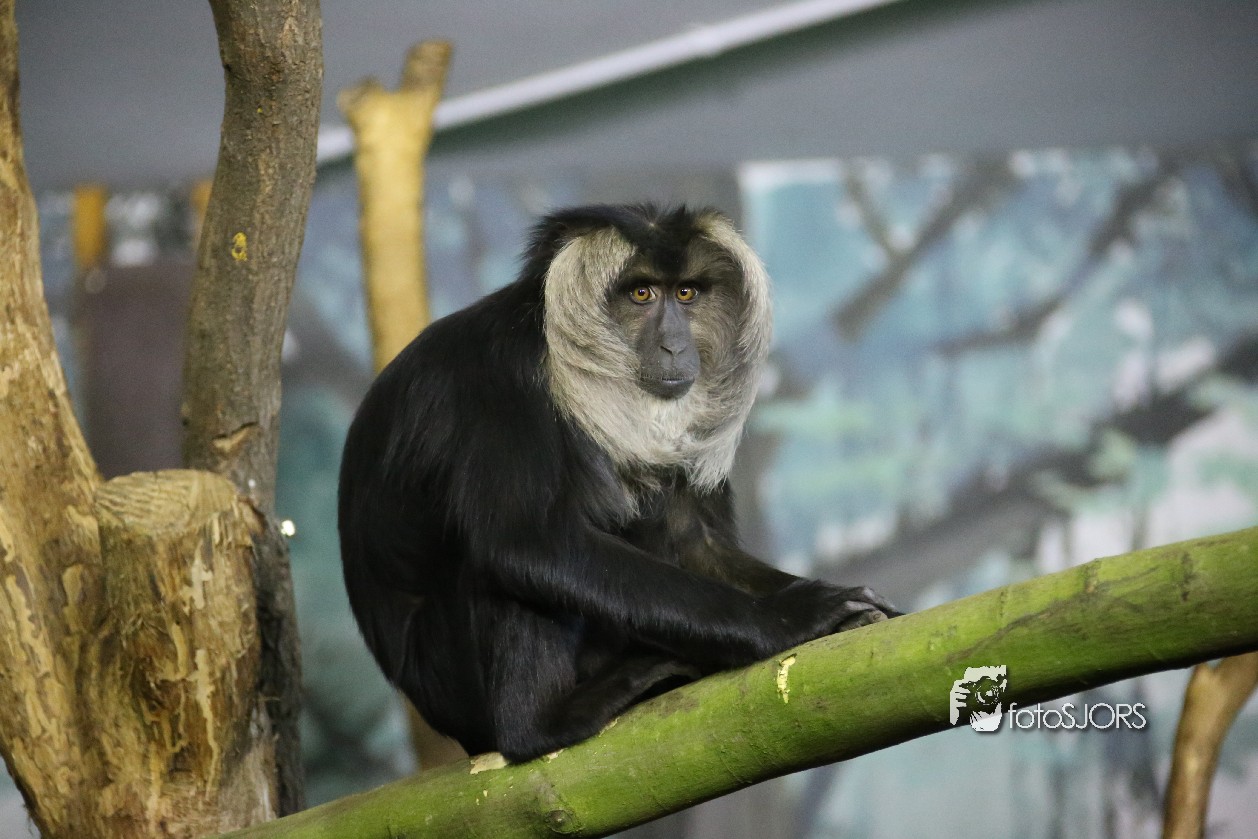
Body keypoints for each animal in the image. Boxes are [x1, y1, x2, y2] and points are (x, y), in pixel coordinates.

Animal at [338, 204, 895, 763]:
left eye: (686, 293)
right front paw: (788, 619)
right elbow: (524, 545)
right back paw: (544, 723)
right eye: (642, 294)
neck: (563, 365)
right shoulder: (495, 383)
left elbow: (696, 545)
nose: (674, 345)